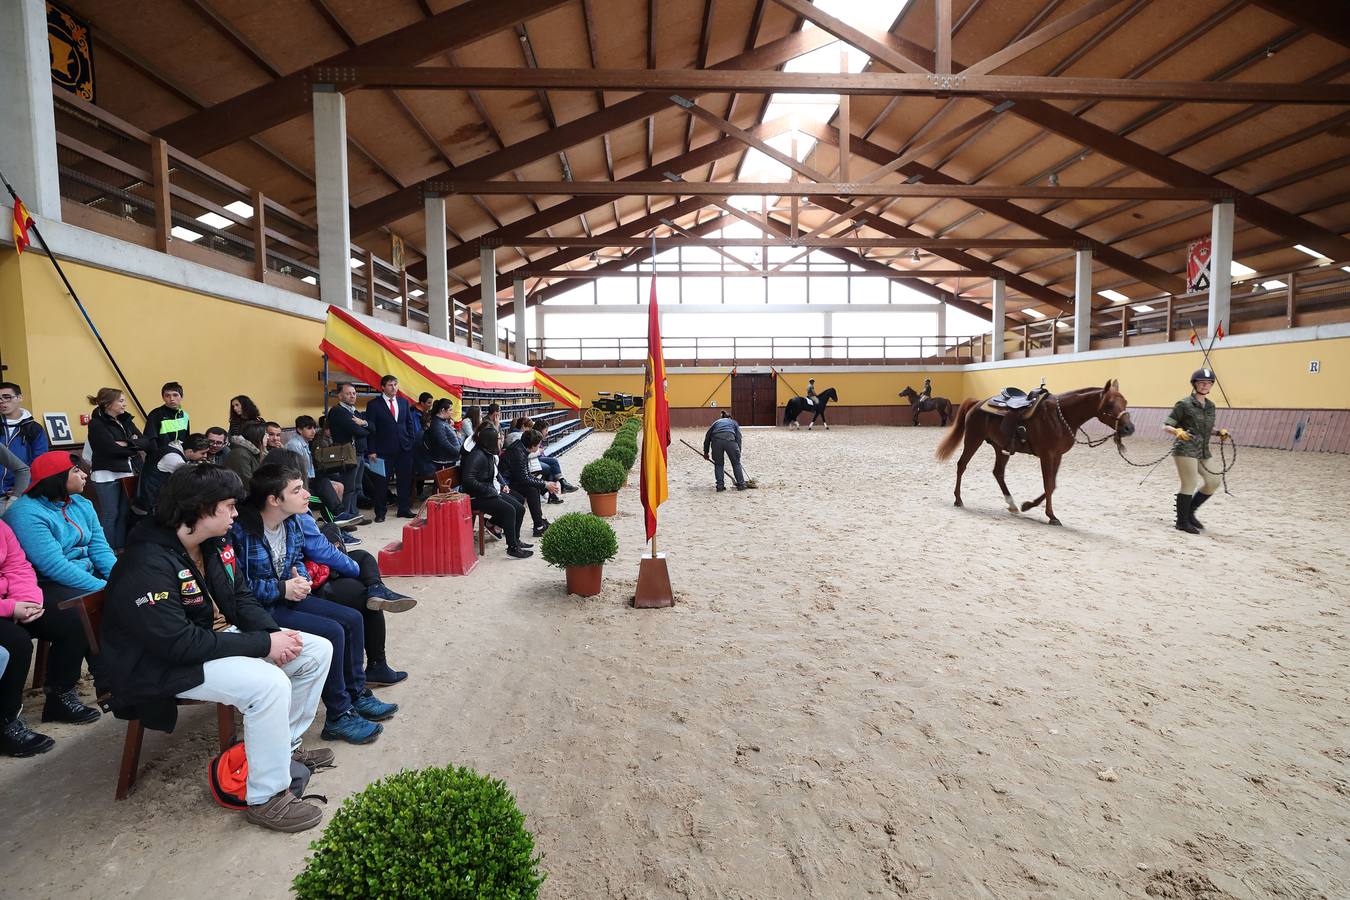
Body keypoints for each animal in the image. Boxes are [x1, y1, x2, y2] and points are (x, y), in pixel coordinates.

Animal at [934, 383, 1134, 528]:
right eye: (1109, 404)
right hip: (973, 439)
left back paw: (1012, 504)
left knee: (998, 472)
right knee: (962, 465)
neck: (1061, 416)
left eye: (1125, 402)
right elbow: (1048, 484)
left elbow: (1052, 485)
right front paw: (1051, 516)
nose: (1129, 428)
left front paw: (1028, 505)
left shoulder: (1057, 456)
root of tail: (976, 402)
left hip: (1001, 448)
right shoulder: (1046, 455)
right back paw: (958, 499)